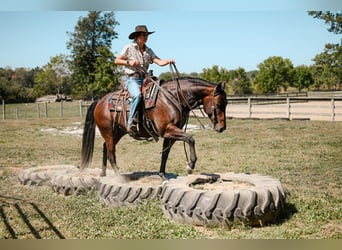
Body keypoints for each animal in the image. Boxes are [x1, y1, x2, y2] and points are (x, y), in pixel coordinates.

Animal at [81, 76, 227, 180]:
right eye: (219, 104)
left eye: (226, 103)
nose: (222, 128)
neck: (173, 97)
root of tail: (99, 101)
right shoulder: (167, 129)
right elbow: (190, 139)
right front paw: (190, 166)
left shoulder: (170, 134)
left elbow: (165, 154)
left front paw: (162, 174)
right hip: (108, 132)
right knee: (111, 153)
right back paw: (119, 177)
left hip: (117, 132)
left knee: (105, 147)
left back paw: (103, 173)